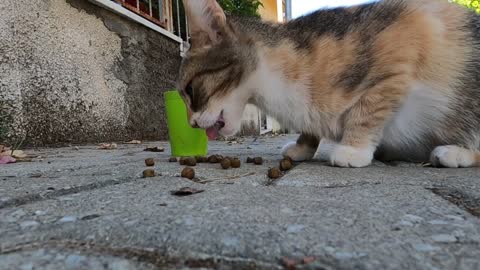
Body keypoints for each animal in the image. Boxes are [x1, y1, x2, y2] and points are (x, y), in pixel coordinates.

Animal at [176, 0, 480, 168]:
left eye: (190, 90)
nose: (191, 123)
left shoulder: (400, 53)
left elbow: (368, 109)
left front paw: (354, 149)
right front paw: (303, 146)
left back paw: (454, 153)